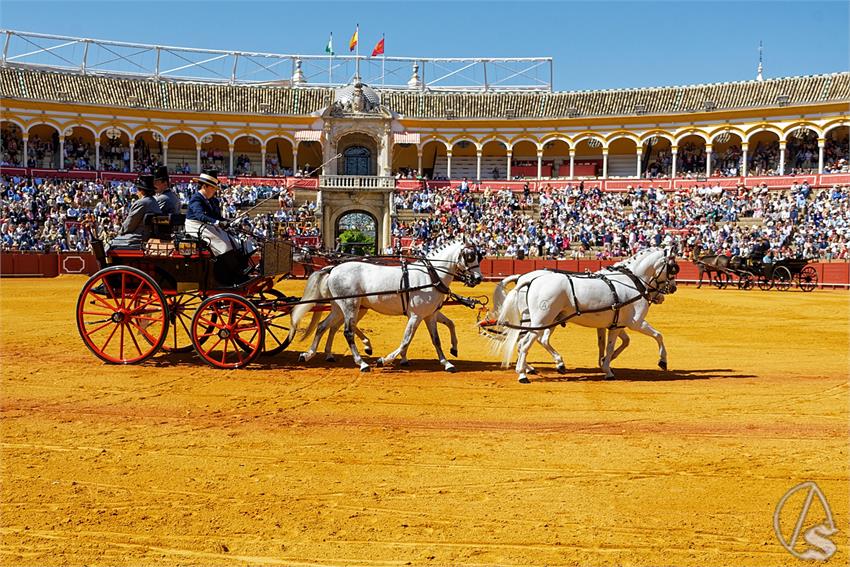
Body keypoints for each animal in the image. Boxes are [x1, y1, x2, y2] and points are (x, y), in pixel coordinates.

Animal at [286, 243, 480, 372]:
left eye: (480, 255)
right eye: (470, 256)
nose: (478, 278)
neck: (431, 275)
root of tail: (333, 269)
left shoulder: (430, 314)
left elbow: (440, 335)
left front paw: (449, 358)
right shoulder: (416, 316)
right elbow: (406, 340)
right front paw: (385, 360)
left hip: (340, 307)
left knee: (324, 326)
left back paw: (310, 354)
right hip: (350, 306)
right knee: (347, 331)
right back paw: (362, 362)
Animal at [496, 250, 676, 386]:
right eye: (673, 269)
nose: (672, 288)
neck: (631, 281)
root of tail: (528, 280)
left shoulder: (615, 324)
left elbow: (613, 343)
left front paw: (604, 363)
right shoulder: (636, 322)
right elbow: (657, 335)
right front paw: (662, 361)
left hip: (533, 320)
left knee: (523, 342)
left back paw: (532, 368)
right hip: (543, 321)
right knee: (528, 343)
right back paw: (524, 374)